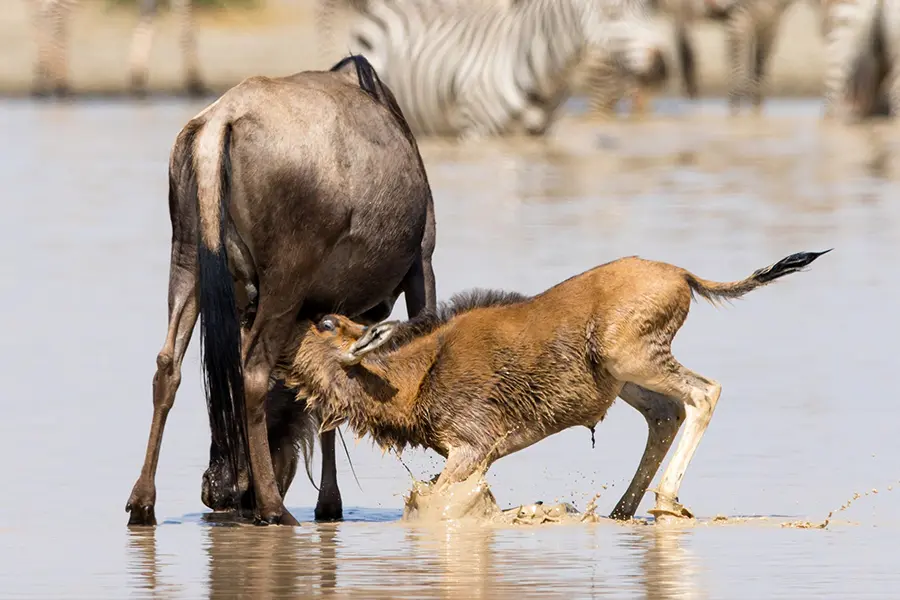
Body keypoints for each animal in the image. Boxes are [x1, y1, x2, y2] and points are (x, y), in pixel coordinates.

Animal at [29, 0, 204, 97]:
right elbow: (184, 13)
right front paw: (194, 81)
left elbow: (148, 11)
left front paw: (137, 77)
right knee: (55, 13)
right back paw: (61, 84)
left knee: (43, 11)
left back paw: (42, 78)